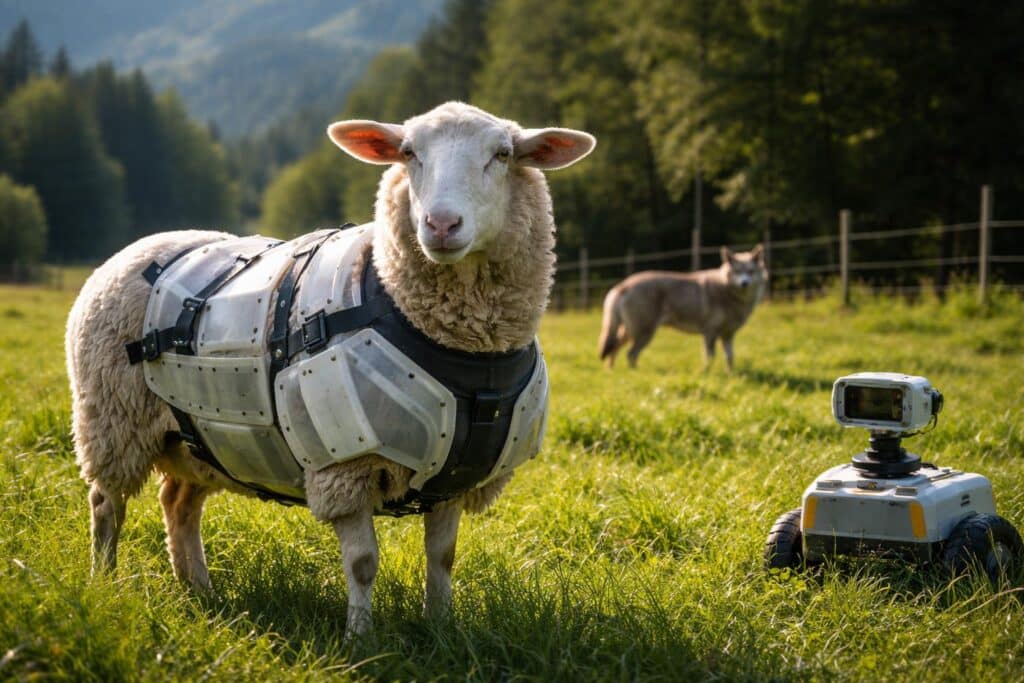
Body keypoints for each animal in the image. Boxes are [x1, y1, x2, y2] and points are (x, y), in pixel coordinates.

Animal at [66, 101, 595, 639]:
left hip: (193, 442)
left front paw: (440, 630)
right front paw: (360, 638)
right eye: (409, 153)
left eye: (502, 154)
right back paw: (106, 583)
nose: (441, 224)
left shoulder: (455, 478)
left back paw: (199, 588)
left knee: (178, 502)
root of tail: (144, 244)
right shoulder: (345, 469)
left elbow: (443, 558)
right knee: (106, 504)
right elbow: (363, 564)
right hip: (111, 421)